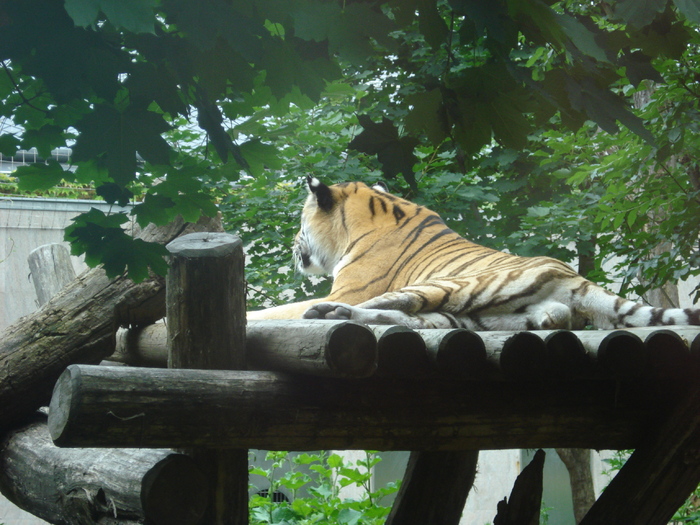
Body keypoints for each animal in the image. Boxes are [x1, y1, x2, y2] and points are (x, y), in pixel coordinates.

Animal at [249, 178, 700, 330]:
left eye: (301, 222)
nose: (293, 245)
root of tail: (576, 278)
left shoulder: (347, 289)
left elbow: (278, 310)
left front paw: (256, 314)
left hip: (453, 284)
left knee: (391, 305)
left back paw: (325, 314)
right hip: (473, 312)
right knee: (414, 318)